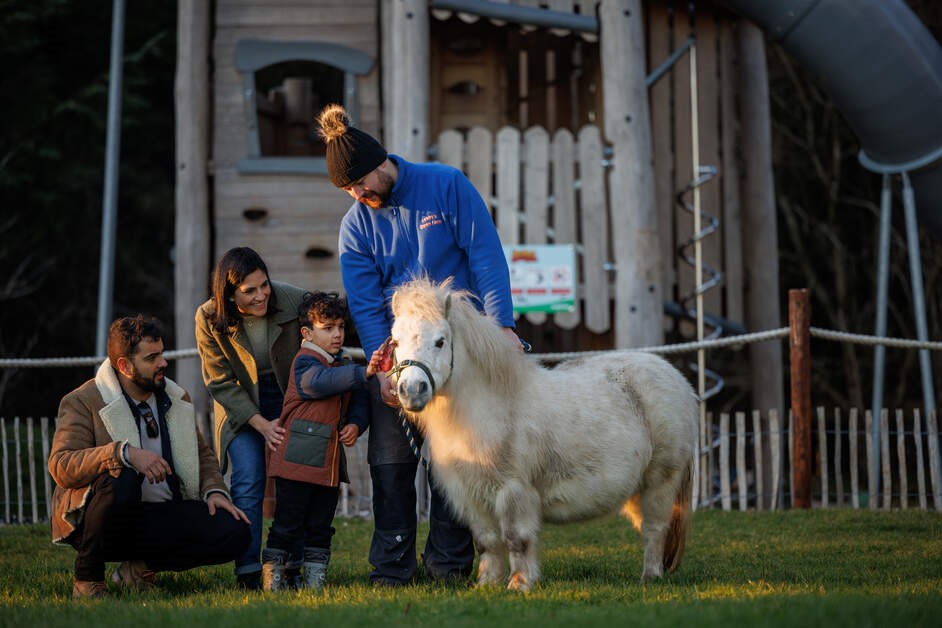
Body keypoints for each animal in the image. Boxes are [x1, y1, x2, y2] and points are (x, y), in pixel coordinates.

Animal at [390, 278, 700, 592]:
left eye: (440, 341)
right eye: (396, 342)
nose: (411, 390)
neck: (491, 408)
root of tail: (678, 380)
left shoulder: (513, 491)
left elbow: (516, 539)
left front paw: (519, 584)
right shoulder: (472, 495)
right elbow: (487, 542)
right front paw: (487, 584)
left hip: (660, 481)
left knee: (655, 528)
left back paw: (650, 577)